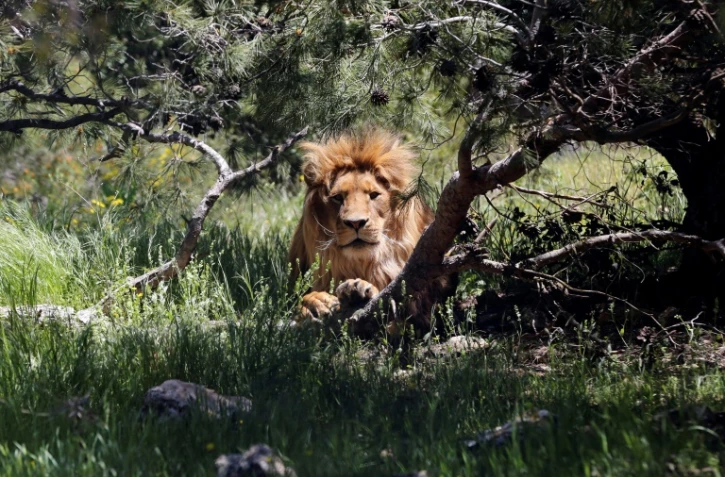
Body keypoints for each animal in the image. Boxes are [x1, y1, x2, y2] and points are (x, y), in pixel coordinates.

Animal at [288, 129, 451, 334]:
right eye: (337, 198)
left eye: (373, 195)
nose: (356, 223)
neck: (362, 264)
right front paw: (317, 302)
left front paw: (358, 291)